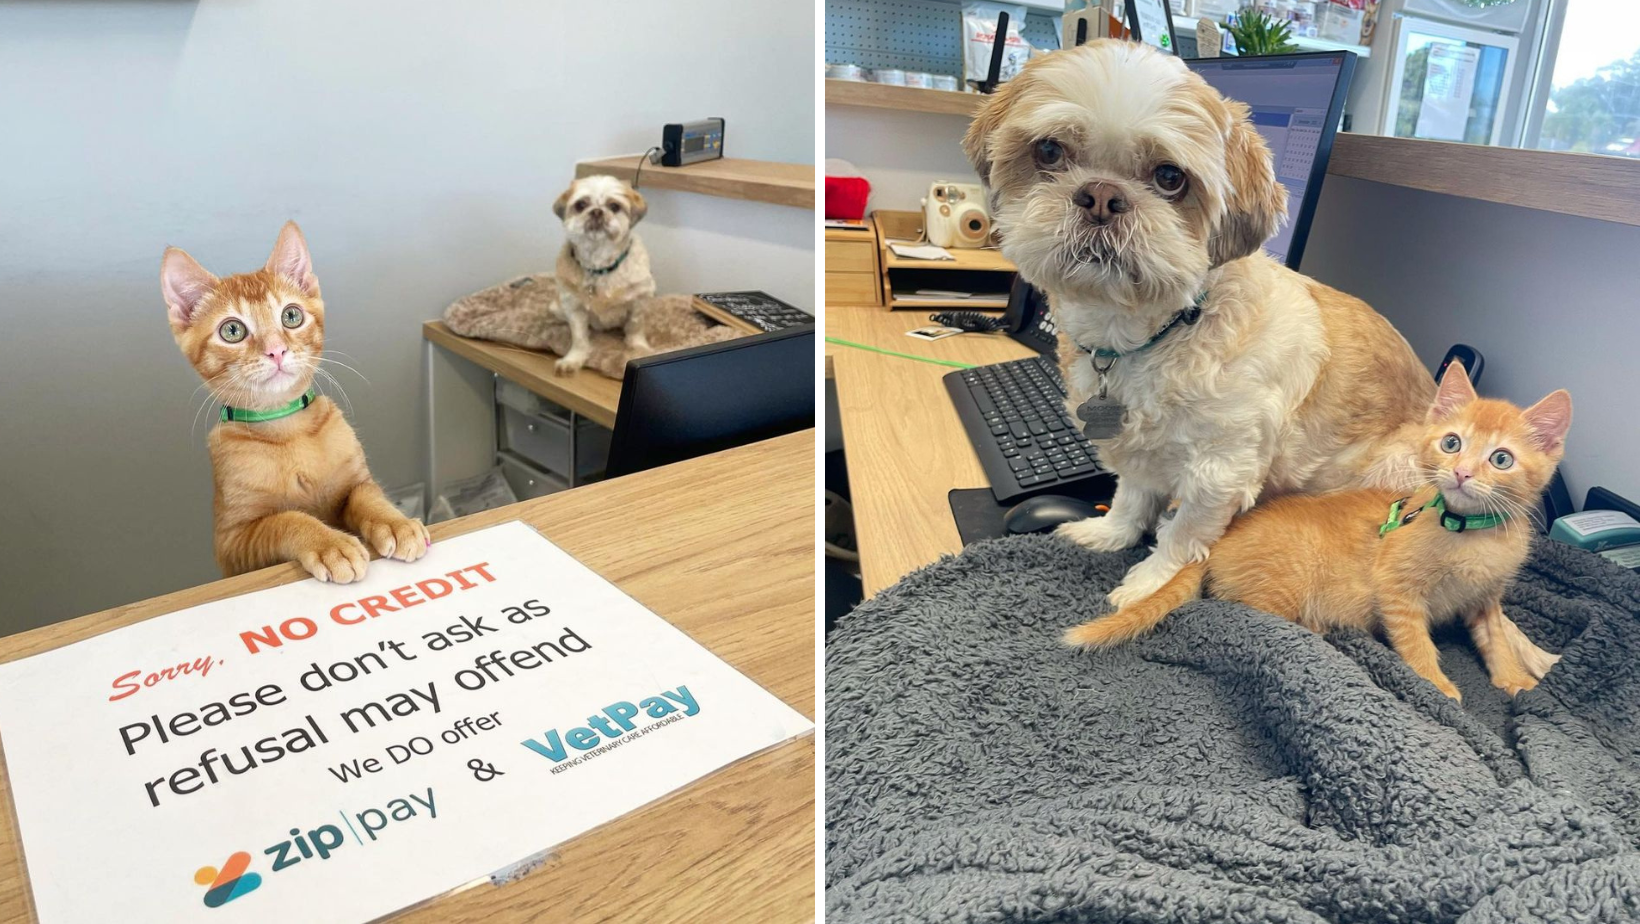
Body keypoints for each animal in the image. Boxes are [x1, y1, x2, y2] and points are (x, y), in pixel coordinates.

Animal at [158, 223, 429, 580]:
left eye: (291, 315)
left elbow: (367, 495)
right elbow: (285, 519)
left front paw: (395, 522)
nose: (276, 350)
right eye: (232, 330)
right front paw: (331, 543)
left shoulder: (356, 482)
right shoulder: (232, 545)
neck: (287, 428)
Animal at [551, 173, 652, 375]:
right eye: (581, 204)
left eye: (614, 206)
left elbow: (636, 326)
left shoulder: (640, 299)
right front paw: (573, 359)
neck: (599, 265)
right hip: (556, 307)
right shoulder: (573, 306)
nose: (597, 211)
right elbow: (579, 338)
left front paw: (638, 347)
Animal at [964, 41, 1443, 607]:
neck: (1158, 331)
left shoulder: (1220, 471)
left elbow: (1184, 532)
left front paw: (1151, 582)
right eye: (1049, 152)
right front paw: (1111, 533)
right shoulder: (1138, 446)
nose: (1101, 195)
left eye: (1170, 177)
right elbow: (1131, 496)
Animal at [1069, 361, 1567, 702]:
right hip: (1280, 591)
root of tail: (1219, 543)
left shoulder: (1486, 599)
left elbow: (1496, 639)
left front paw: (1513, 679)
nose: (1462, 473)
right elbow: (1415, 641)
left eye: (1501, 459)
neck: (1469, 532)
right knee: (1240, 611)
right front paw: (1436, 685)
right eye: (1452, 443)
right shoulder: (1397, 590)